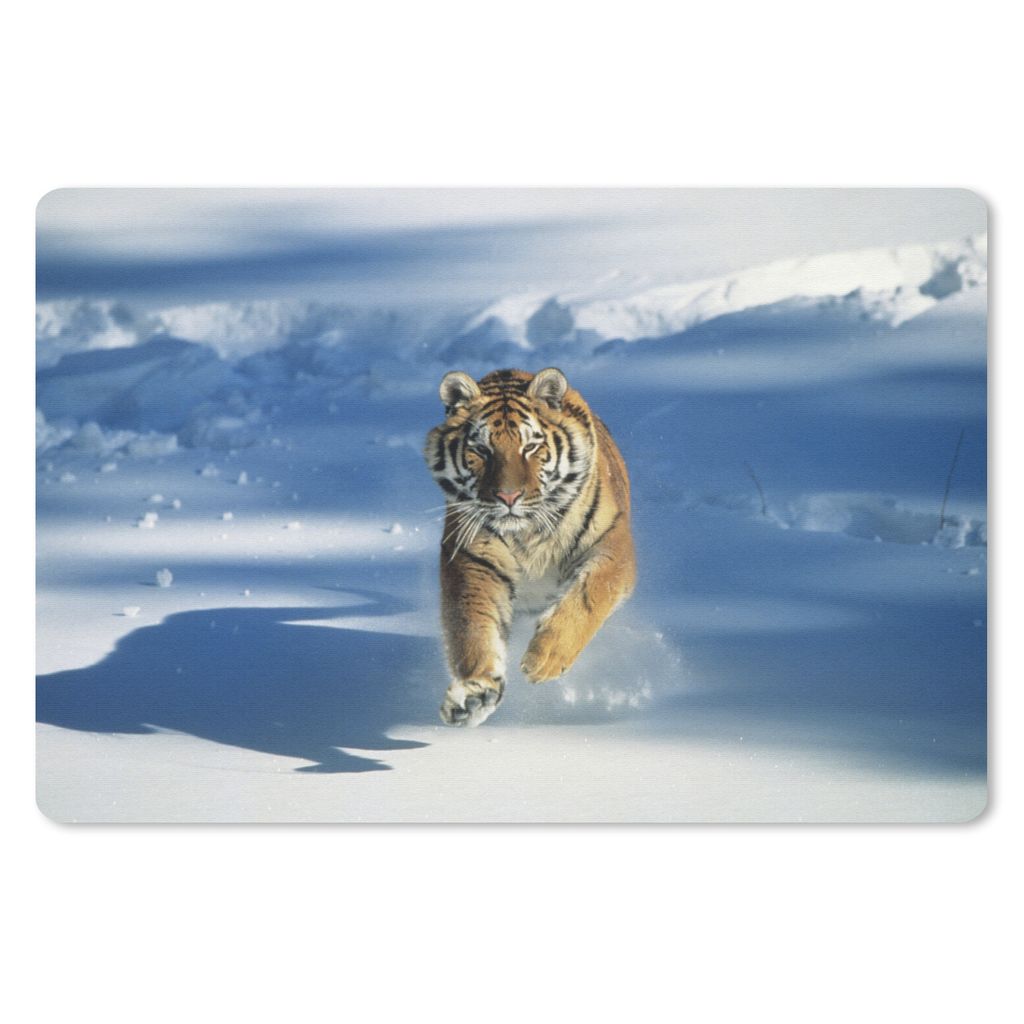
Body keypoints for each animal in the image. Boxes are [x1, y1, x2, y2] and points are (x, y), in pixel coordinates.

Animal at [424, 367, 636, 726]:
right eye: (482, 450)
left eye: (531, 447)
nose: (508, 497)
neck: (528, 534)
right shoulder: (473, 560)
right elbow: (473, 627)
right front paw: (474, 695)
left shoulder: (613, 547)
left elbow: (589, 596)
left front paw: (545, 658)